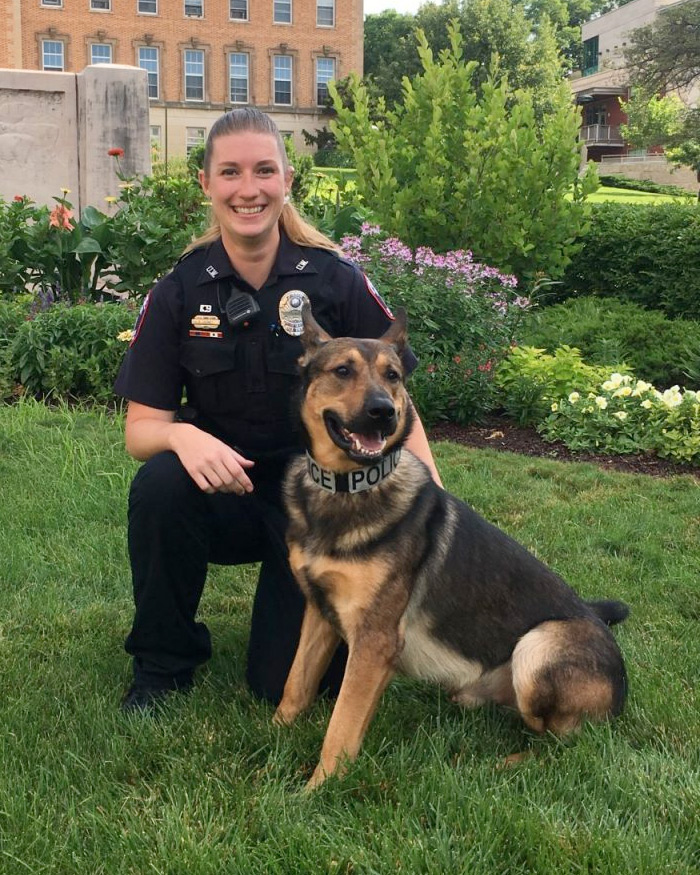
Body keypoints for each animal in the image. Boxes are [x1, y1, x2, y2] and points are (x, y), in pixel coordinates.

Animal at [274, 310, 628, 792]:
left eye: (392, 376)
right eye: (342, 371)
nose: (384, 413)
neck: (347, 489)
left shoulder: (374, 642)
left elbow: (342, 726)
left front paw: (317, 790)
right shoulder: (320, 614)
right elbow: (295, 685)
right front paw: (271, 736)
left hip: (538, 647)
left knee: (563, 746)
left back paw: (500, 765)